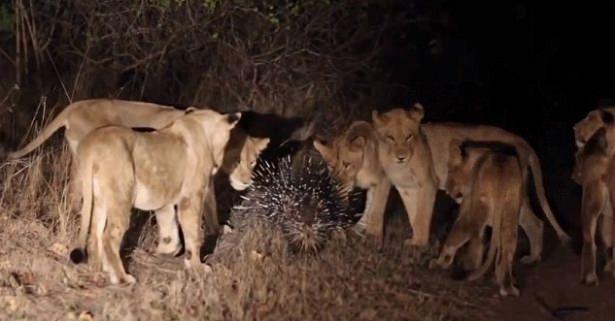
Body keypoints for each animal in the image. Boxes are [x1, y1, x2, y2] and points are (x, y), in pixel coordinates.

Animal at [69, 109, 238, 284]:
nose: (217, 166)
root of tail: (91, 144)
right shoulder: (191, 199)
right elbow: (193, 236)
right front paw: (198, 269)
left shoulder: (164, 198)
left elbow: (169, 226)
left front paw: (166, 251)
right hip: (121, 197)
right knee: (109, 238)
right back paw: (122, 278)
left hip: (100, 200)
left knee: (94, 235)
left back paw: (98, 271)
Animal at [438, 139, 524, 296]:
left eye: (450, 171)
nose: (446, 190)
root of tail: (501, 175)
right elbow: (479, 240)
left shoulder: (468, 201)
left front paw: (469, 264)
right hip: (511, 209)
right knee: (508, 244)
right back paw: (507, 287)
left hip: (481, 204)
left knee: (465, 229)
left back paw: (440, 262)